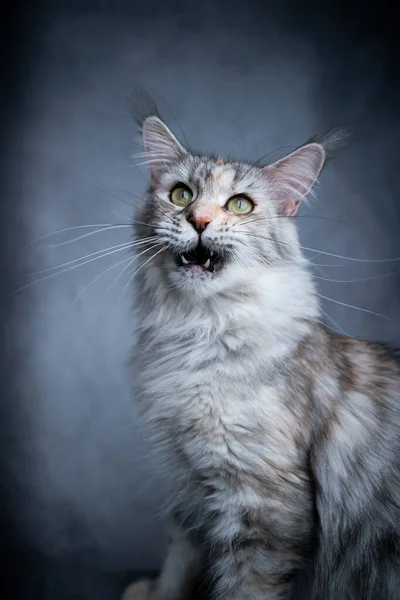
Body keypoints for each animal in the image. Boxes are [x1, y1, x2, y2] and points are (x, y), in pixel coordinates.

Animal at [121, 101, 400, 596]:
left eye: (240, 205)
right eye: (180, 194)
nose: (199, 221)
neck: (199, 333)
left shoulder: (262, 504)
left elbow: (245, 587)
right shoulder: (191, 487)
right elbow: (178, 561)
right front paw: (154, 594)